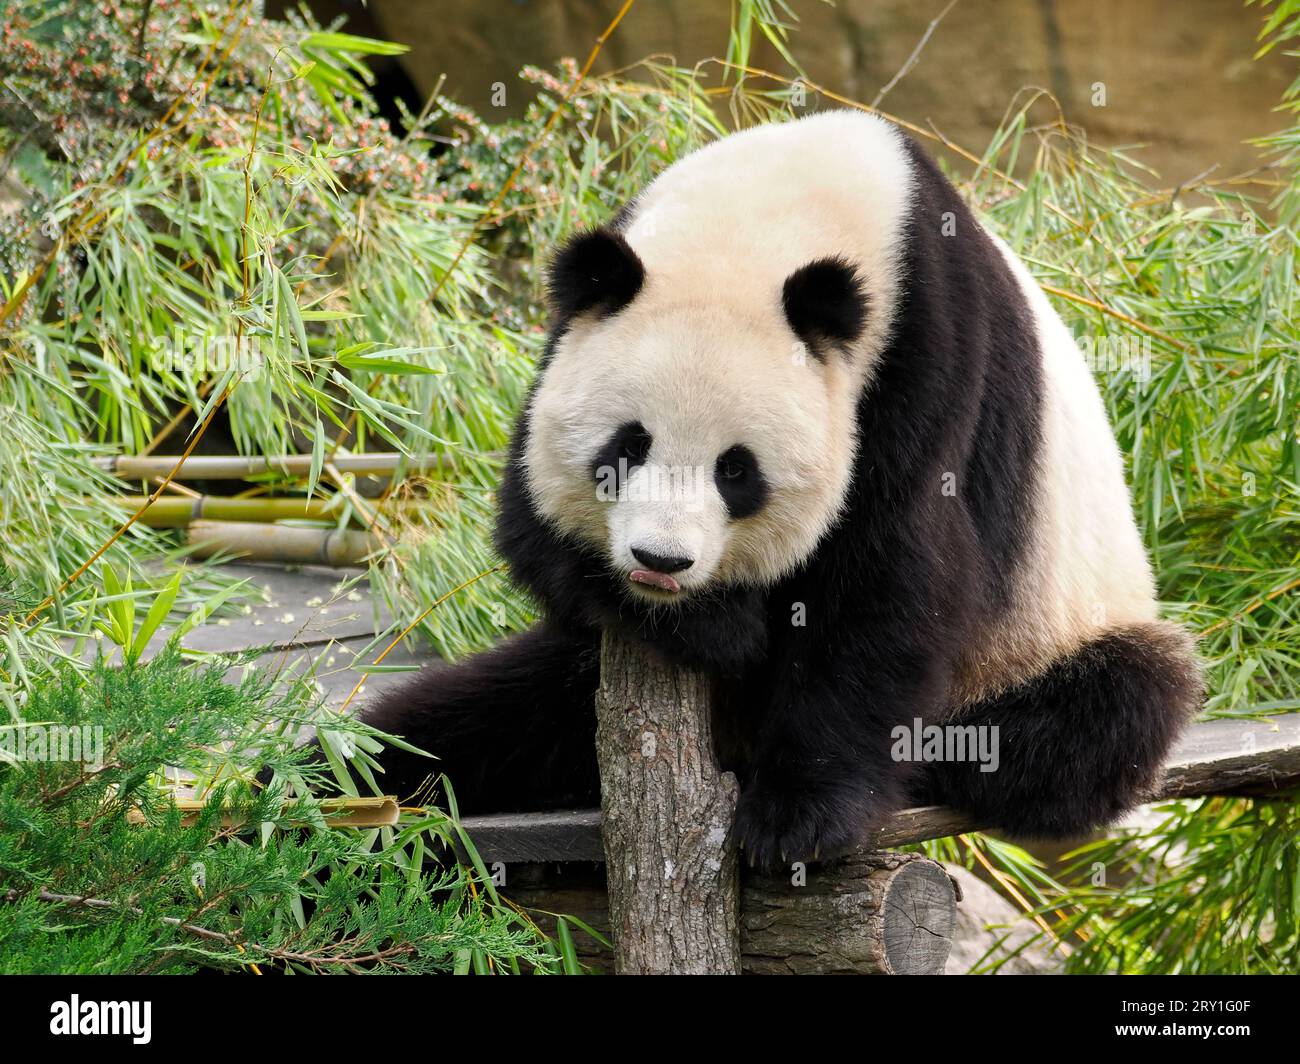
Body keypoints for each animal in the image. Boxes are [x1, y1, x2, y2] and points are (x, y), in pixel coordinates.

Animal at [361, 111, 1201, 868]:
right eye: (628, 446)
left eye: (736, 469)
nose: (661, 562)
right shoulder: (570, 340)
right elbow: (528, 523)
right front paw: (714, 624)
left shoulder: (926, 361)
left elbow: (893, 582)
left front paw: (797, 820)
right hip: (565, 692)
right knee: (451, 722)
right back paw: (347, 780)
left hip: (1047, 632)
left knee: (1105, 710)